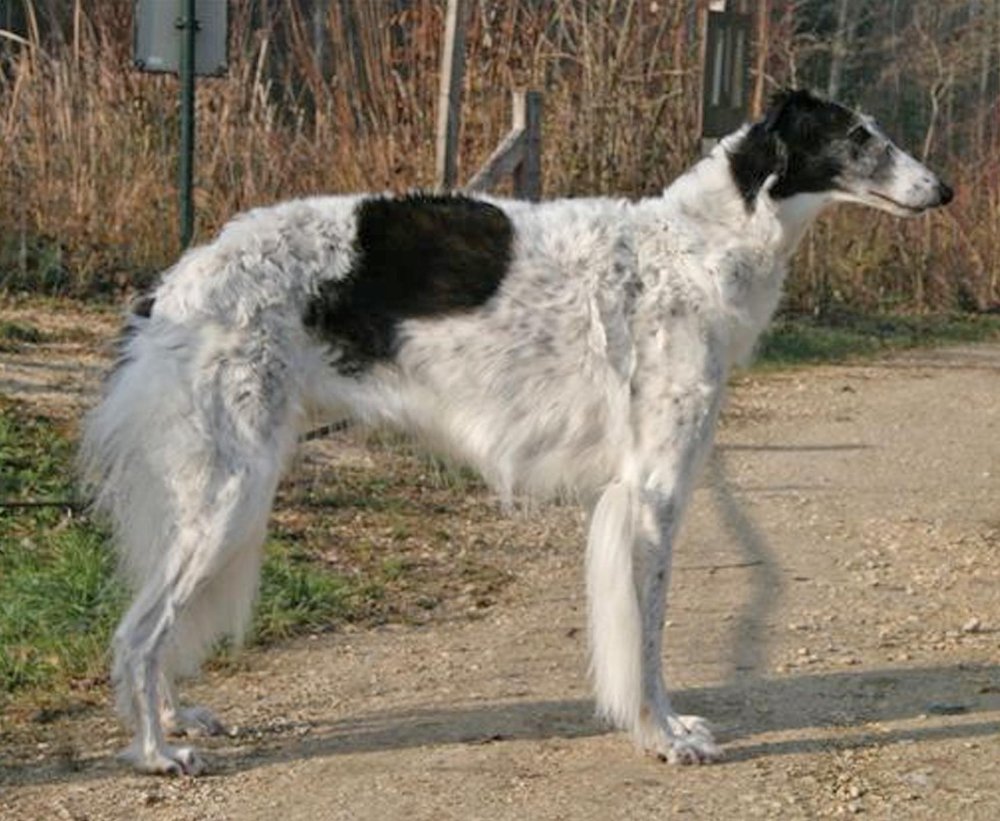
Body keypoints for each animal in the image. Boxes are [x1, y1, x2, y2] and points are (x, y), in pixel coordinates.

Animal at [80, 91, 952, 776]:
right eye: (858, 137)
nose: (944, 189)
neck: (699, 245)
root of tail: (176, 281)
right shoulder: (653, 488)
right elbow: (647, 635)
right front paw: (663, 733)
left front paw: (660, 727)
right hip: (228, 489)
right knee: (135, 631)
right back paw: (156, 750)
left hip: (224, 486)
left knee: (153, 622)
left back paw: (176, 716)